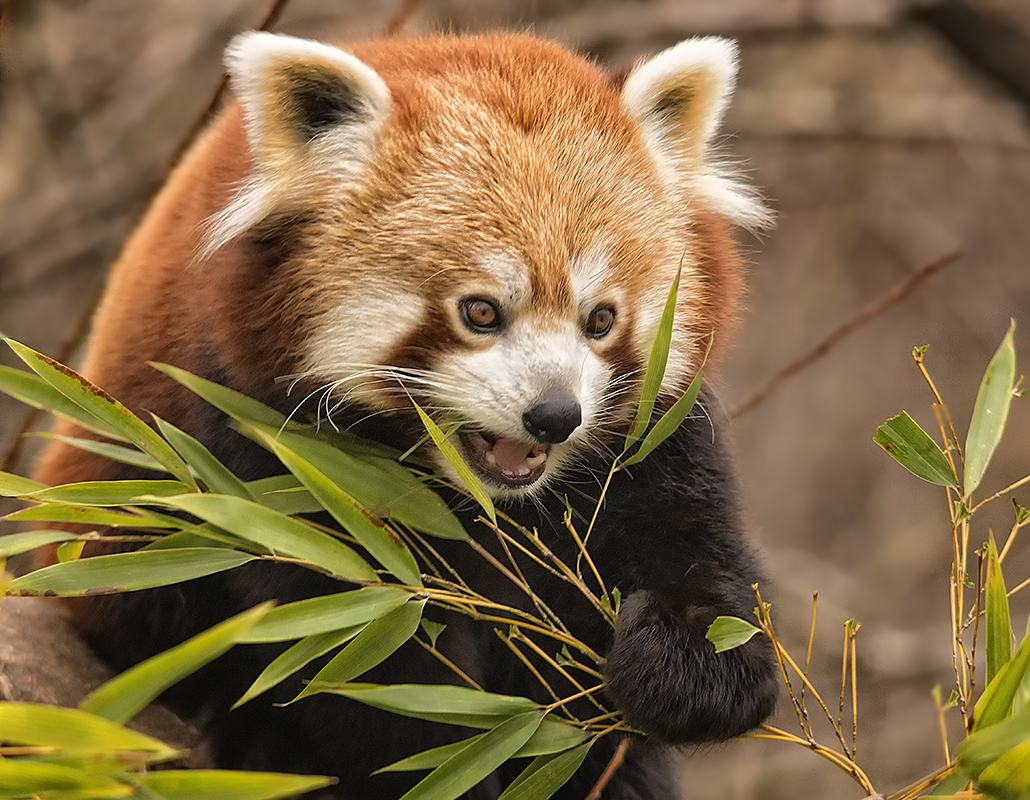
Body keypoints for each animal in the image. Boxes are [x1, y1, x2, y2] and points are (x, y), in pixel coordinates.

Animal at [34, 31, 778, 798]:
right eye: (480, 312)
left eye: (601, 320)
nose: (554, 416)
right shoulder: (263, 447)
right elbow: (360, 662)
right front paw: (448, 754)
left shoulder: (657, 439)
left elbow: (694, 558)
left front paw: (683, 668)